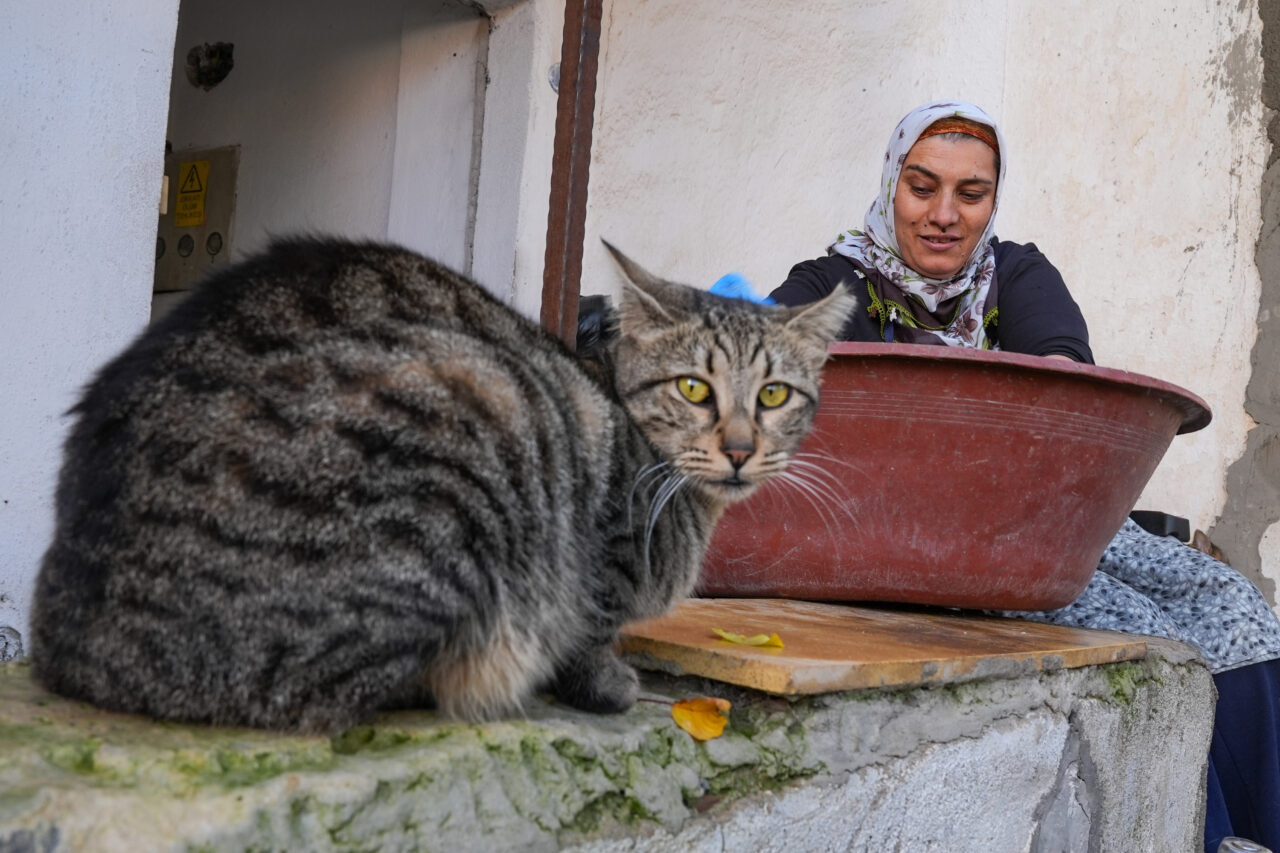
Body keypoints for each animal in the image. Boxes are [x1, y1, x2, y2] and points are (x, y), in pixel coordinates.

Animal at [30, 239, 855, 732]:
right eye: (692, 388)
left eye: (774, 395)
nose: (742, 449)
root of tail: (75, 647)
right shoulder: (599, 558)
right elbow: (589, 627)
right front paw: (607, 681)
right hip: (474, 416)